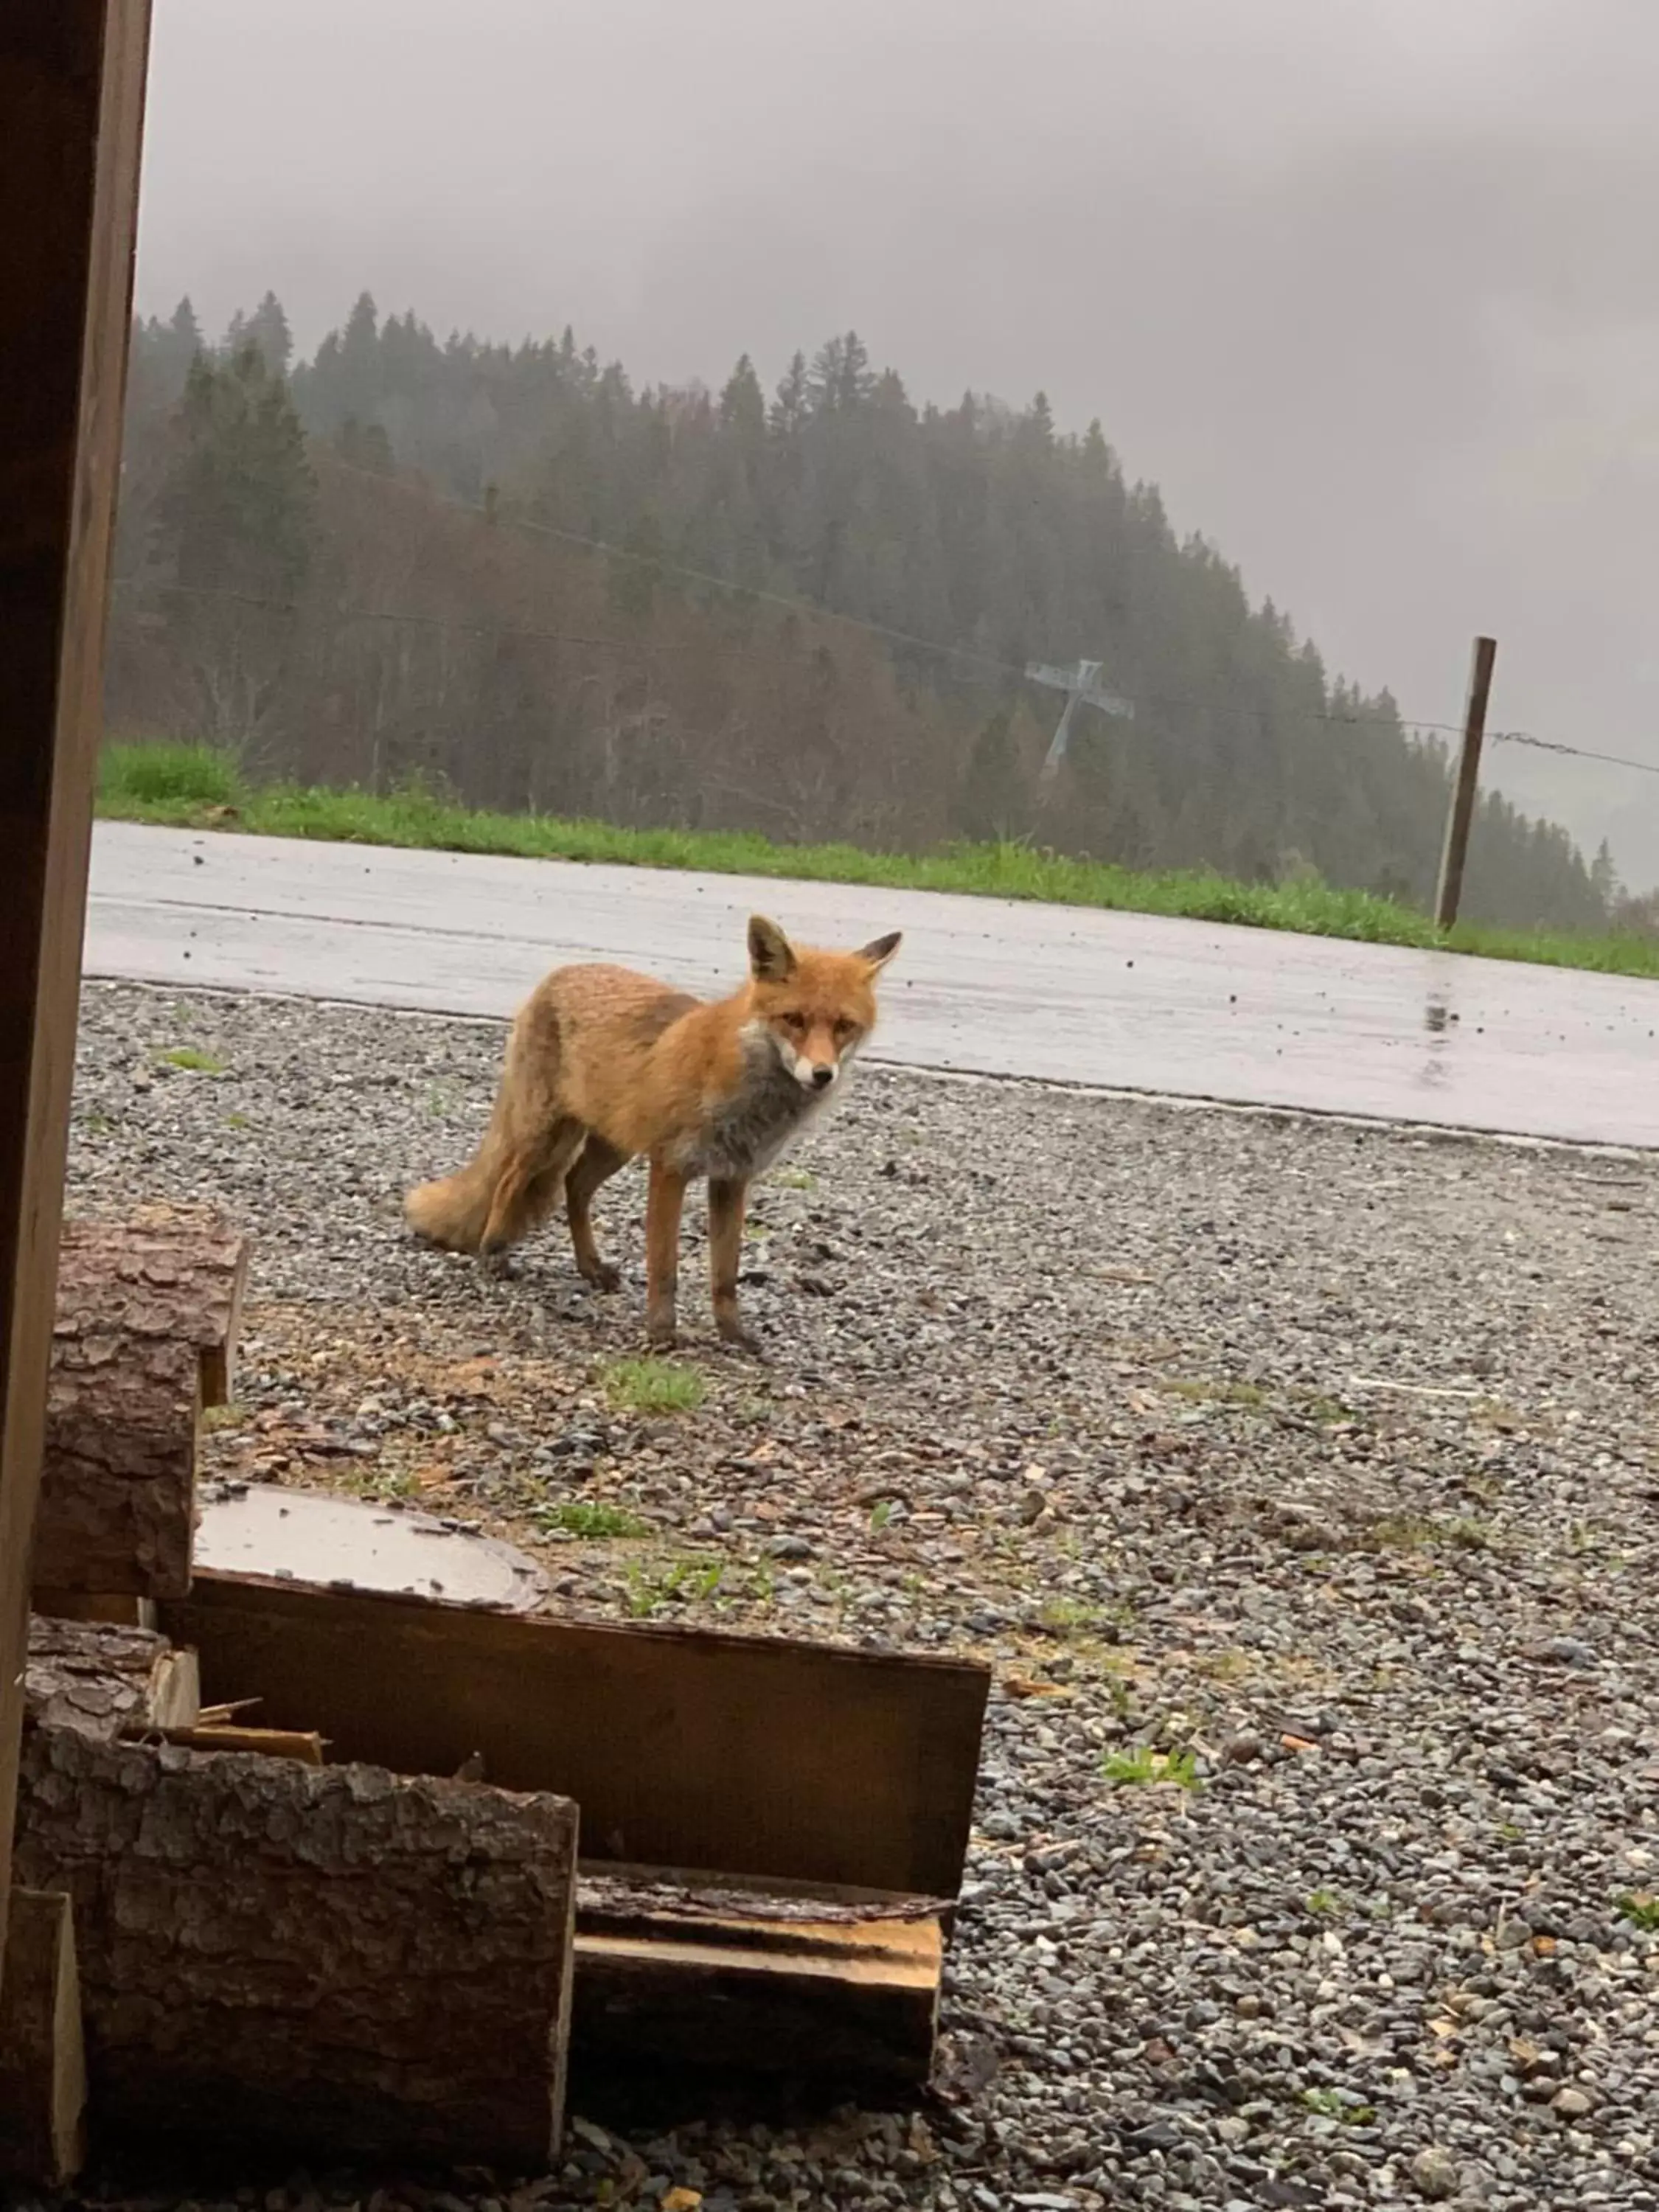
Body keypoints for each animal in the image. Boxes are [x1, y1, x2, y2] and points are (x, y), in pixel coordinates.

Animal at [407, 911, 902, 1345]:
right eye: (794, 1020)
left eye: (844, 1026)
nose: (822, 1075)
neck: (750, 1104)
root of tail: (562, 972)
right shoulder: (670, 1168)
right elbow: (663, 1267)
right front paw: (662, 1333)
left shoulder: (732, 1179)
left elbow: (725, 1274)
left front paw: (733, 1334)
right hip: (544, 1134)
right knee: (510, 1181)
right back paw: (494, 1253)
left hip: (613, 1145)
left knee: (574, 1187)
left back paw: (590, 1266)